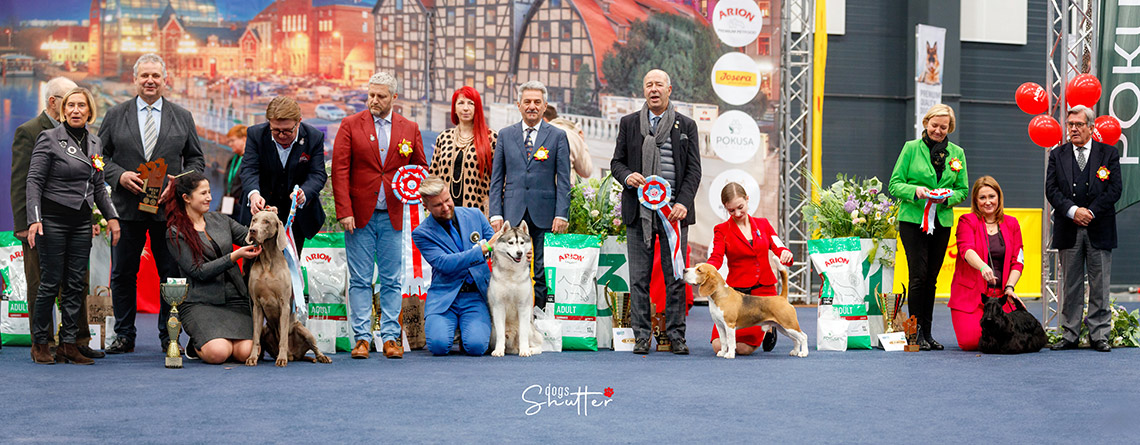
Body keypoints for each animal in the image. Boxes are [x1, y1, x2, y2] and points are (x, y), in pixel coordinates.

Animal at [245, 210, 331, 367]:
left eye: (266, 221)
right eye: (254, 220)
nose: (252, 230)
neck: (267, 260)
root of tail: (295, 356)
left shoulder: (284, 304)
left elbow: (284, 337)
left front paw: (281, 359)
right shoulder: (257, 306)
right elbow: (255, 339)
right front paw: (252, 358)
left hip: (303, 330)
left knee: (315, 347)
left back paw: (321, 357)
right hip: (266, 330)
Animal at [487, 221, 543, 357]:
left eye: (522, 243)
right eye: (511, 242)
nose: (519, 253)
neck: (511, 274)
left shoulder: (523, 306)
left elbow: (523, 334)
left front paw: (525, 351)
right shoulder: (499, 306)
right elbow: (501, 334)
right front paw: (498, 350)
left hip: (530, 328)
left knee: (537, 345)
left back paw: (529, 349)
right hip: (492, 331)